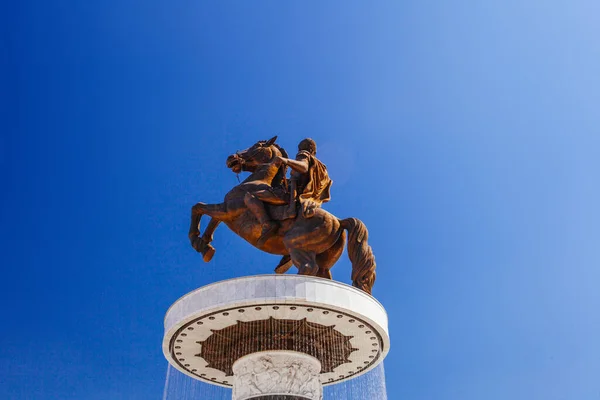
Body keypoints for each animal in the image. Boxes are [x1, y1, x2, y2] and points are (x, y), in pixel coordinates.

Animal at [189, 138, 376, 294]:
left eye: (257, 145)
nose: (231, 158)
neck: (257, 181)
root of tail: (339, 221)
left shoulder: (229, 209)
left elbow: (198, 207)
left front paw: (196, 239)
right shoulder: (226, 212)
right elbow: (212, 220)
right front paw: (204, 247)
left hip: (295, 245)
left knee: (308, 267)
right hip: (324, 259)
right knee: (321, 273)